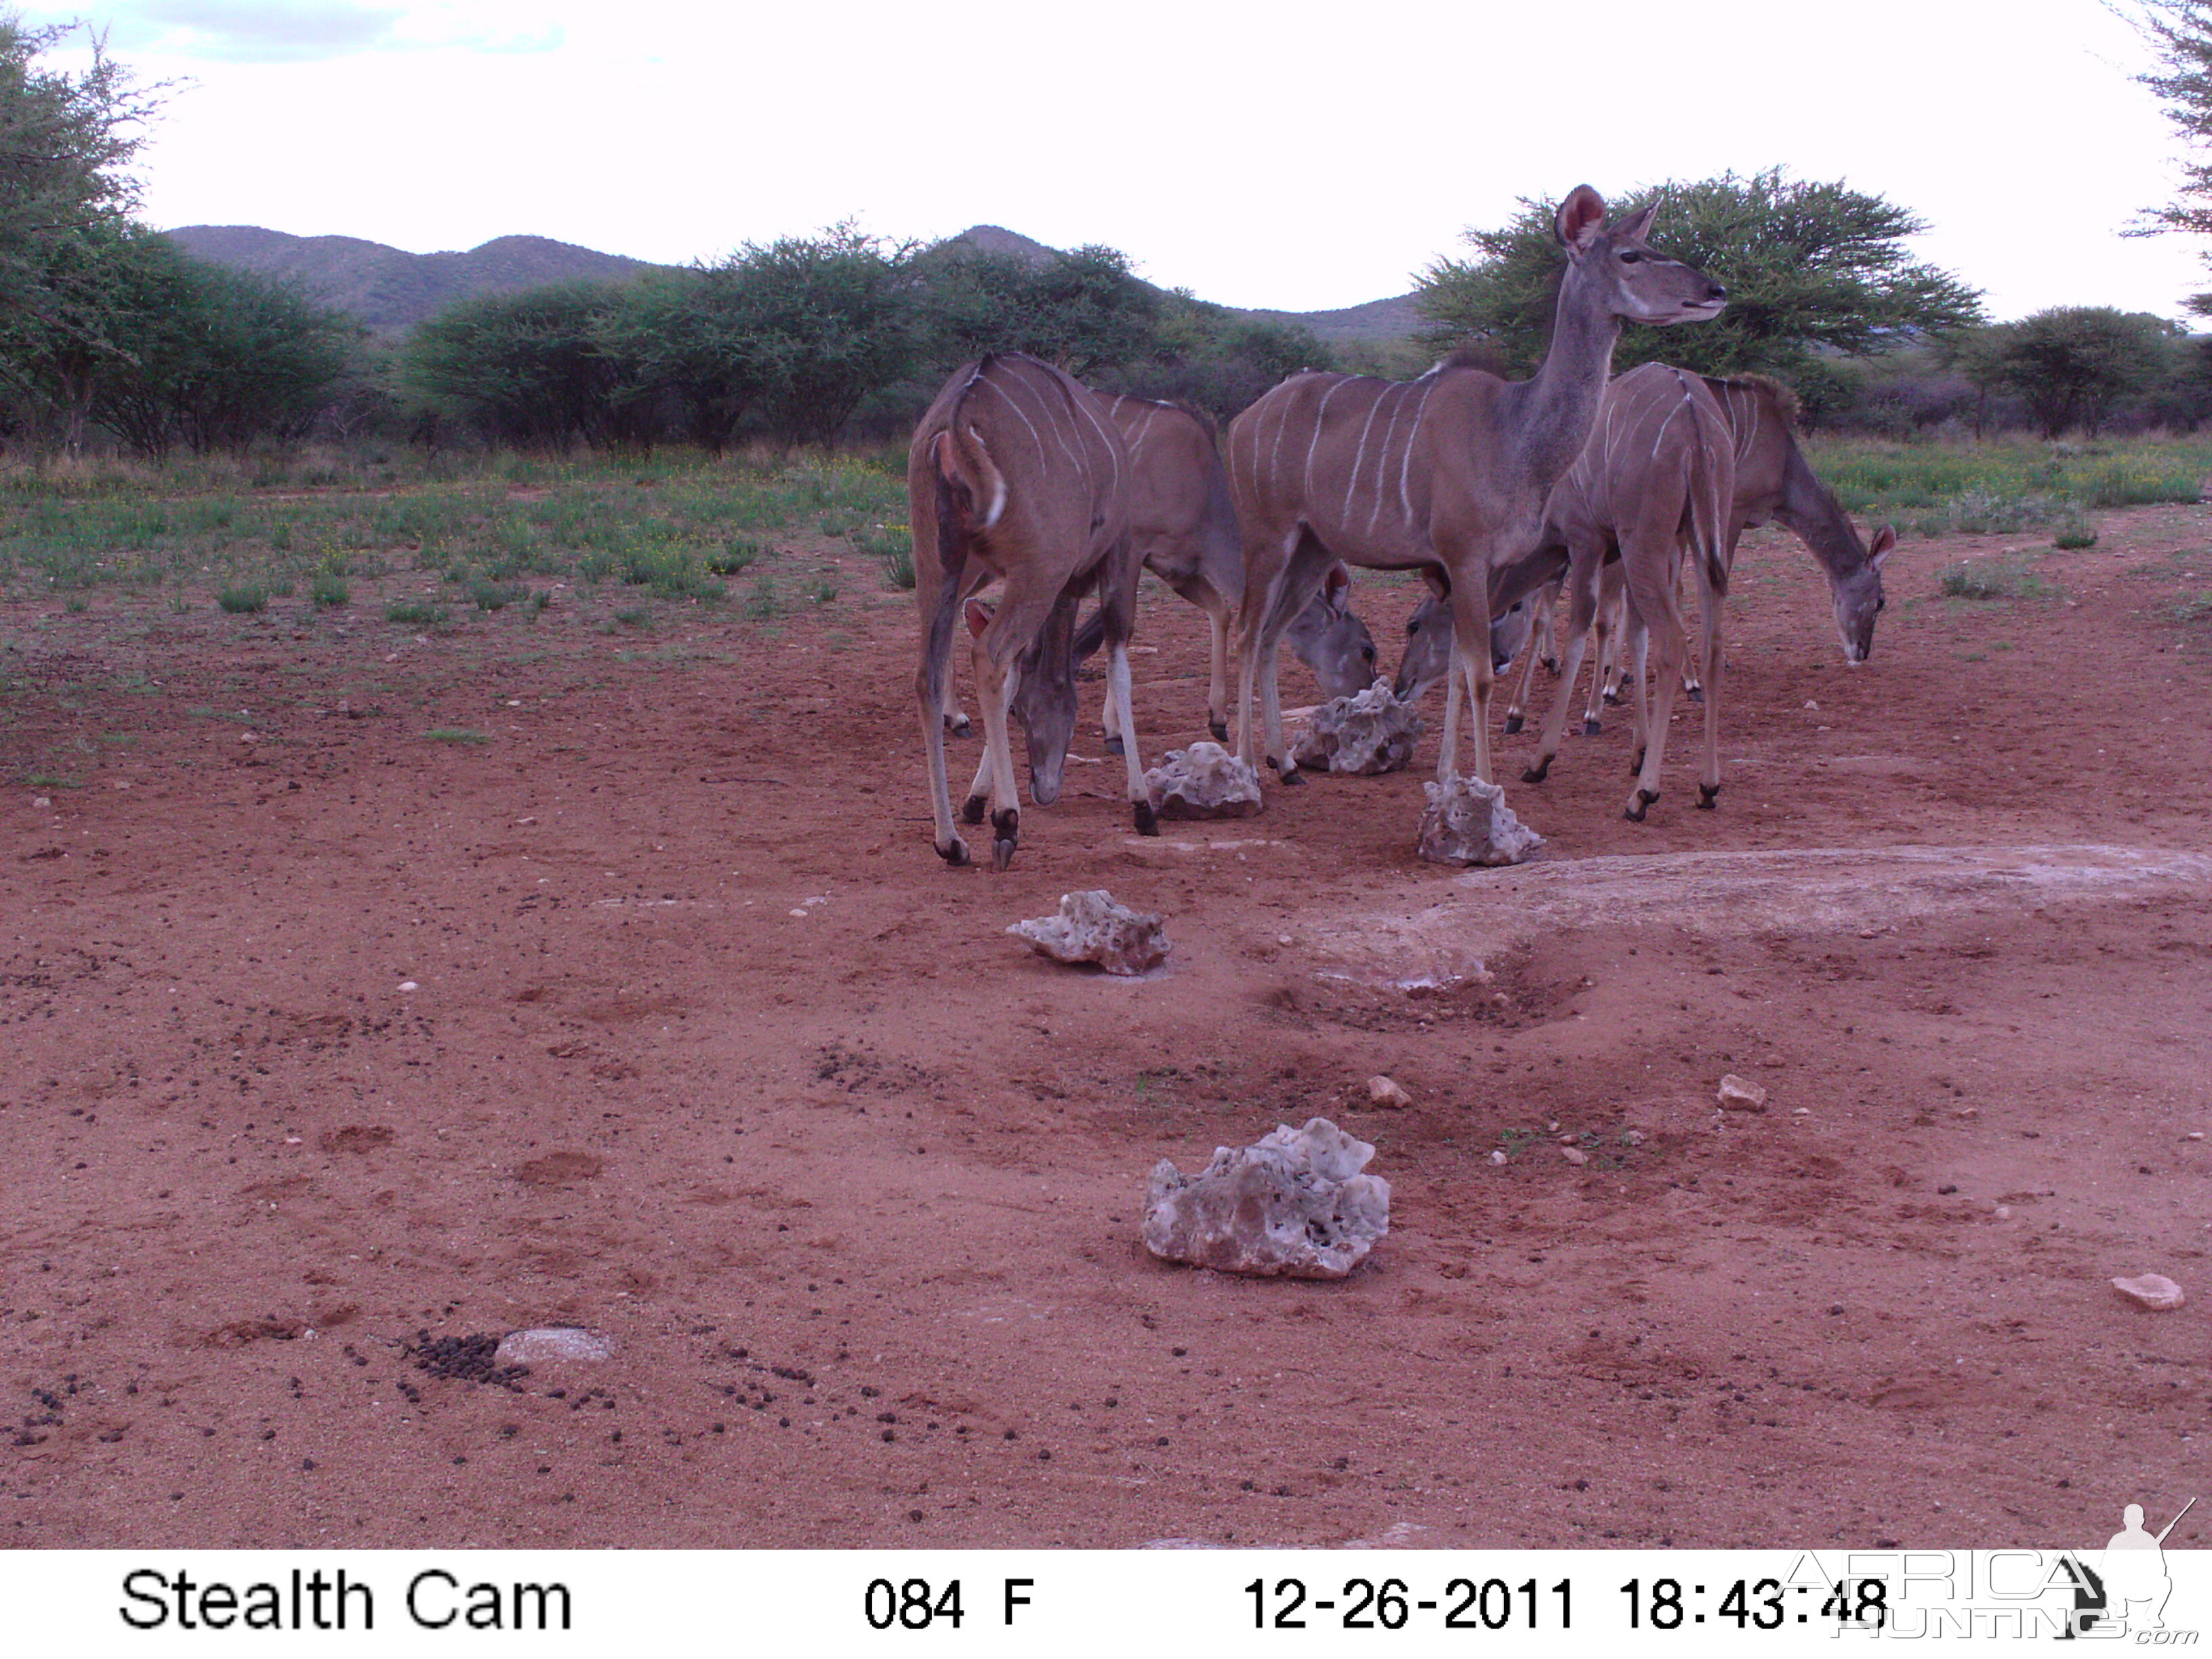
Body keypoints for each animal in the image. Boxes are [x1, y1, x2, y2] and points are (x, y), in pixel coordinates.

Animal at [911, 351, 1159, 872]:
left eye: (1022, 713)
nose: (1044, 788)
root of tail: (959, 421)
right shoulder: (1119, 556)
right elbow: (1119, 666)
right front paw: (1143, 805)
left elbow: (1017, 670)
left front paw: (975, 801)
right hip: (1036, 570)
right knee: (987, 655)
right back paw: (1007, 822)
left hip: (939, 564)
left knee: (929, 675)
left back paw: (951, 842)